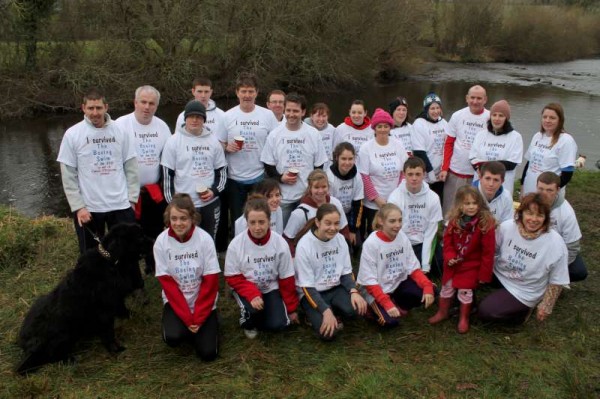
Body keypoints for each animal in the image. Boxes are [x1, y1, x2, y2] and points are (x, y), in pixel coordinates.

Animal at [16, 225, 154, 376]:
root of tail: (26, 344)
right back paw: (69, 359)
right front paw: (115, 349)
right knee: (53, 356)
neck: (110, 262)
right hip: (63, 335)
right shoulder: (104, 311)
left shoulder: (116, 300)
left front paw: (134, 316)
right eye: (140, 237)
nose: (154, 240)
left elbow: (123, 309)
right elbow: (109, 333)